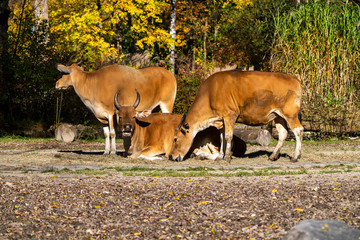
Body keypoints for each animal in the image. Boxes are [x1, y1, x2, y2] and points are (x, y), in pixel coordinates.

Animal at [114, 91, 246, 160]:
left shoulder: (157, 147)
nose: (127, 128)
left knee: (219, 153)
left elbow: (139, 155)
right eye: (119, 116)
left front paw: (159, 157)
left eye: (133, 116)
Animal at [169, 70, 304, 162]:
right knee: (283, 133)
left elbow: (228, 137)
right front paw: (220, 156)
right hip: (278, 116)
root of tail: (295, 79)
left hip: (290, 114)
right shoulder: (221, 120)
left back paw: (295, 157)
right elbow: (222, 138)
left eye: (175, 139)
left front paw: (227, 157)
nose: (171, 156)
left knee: (298, 130)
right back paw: (273, 156)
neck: (210, 94)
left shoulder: (230, 115)